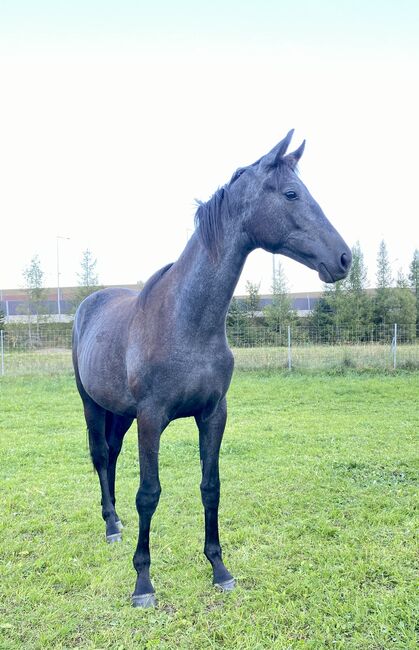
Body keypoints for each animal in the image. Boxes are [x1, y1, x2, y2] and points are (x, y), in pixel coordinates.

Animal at [72, 128, 352, 608]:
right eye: (292, 193)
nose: (344, 259)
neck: (186, 321)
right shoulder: (151, 419)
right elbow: (149, 494)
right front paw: (143, 583)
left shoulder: (213, 414)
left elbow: (211, 487)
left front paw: (219, 568)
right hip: (93, 405)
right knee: (101, 456)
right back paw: (111, 525)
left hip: (120, 414)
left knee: (112, 453)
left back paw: (117, 522)